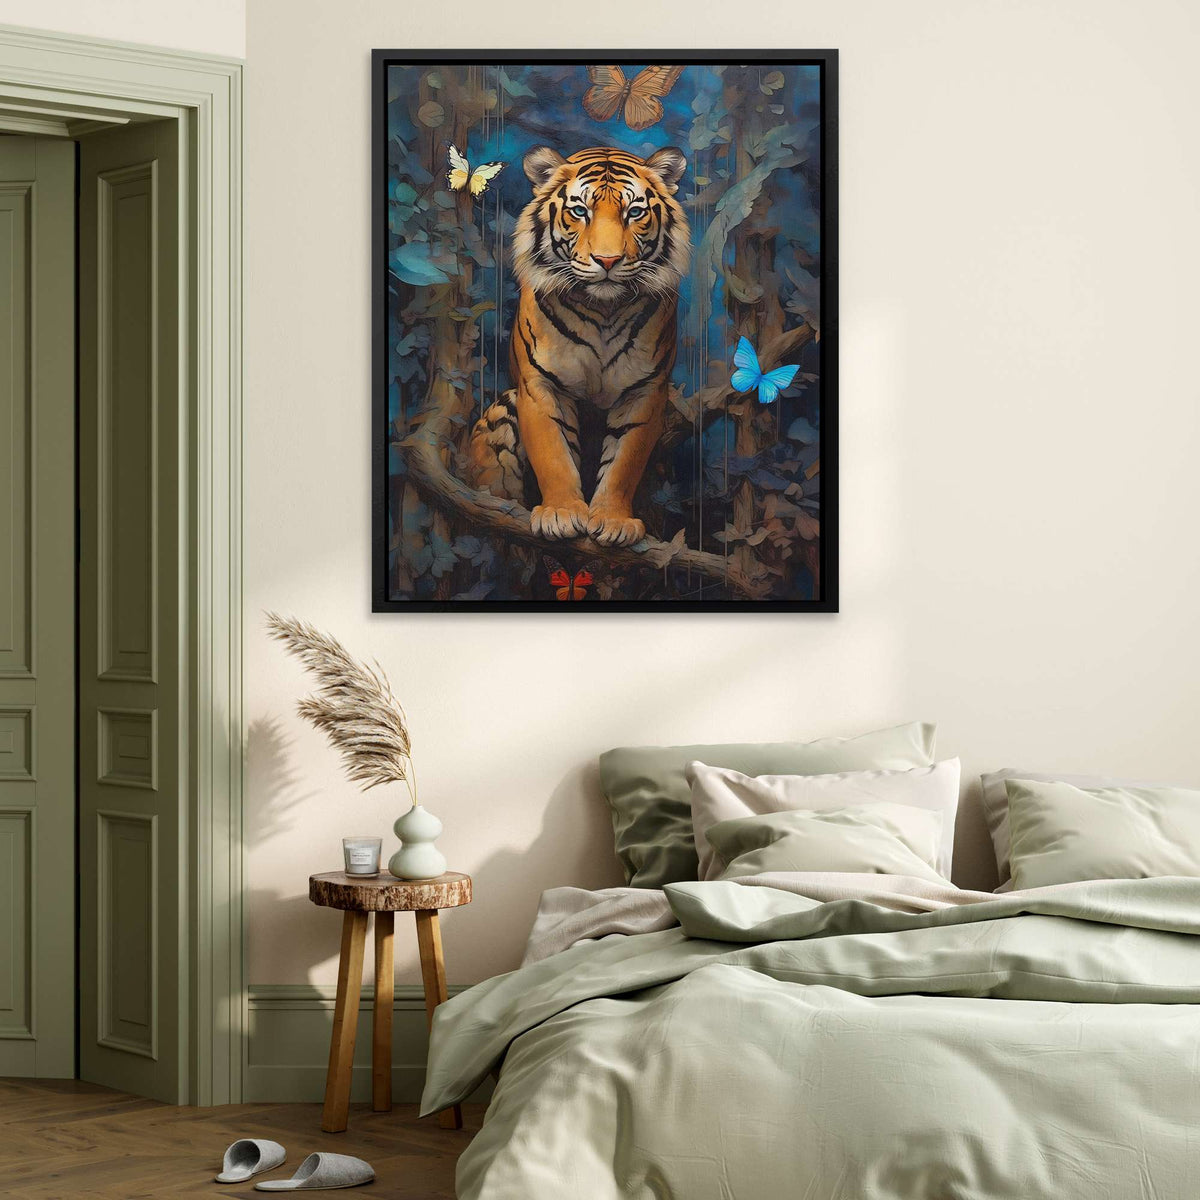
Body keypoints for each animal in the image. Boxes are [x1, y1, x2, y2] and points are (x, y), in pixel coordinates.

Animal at [506, 144, 691, 546]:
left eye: (634, 212)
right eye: (580, 211)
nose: (607, 260)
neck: (603, 310)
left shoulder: (645, 391)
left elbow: (624, 462)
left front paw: (613, 520)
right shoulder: (540, 385)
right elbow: (553, 454)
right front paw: (560, 513)